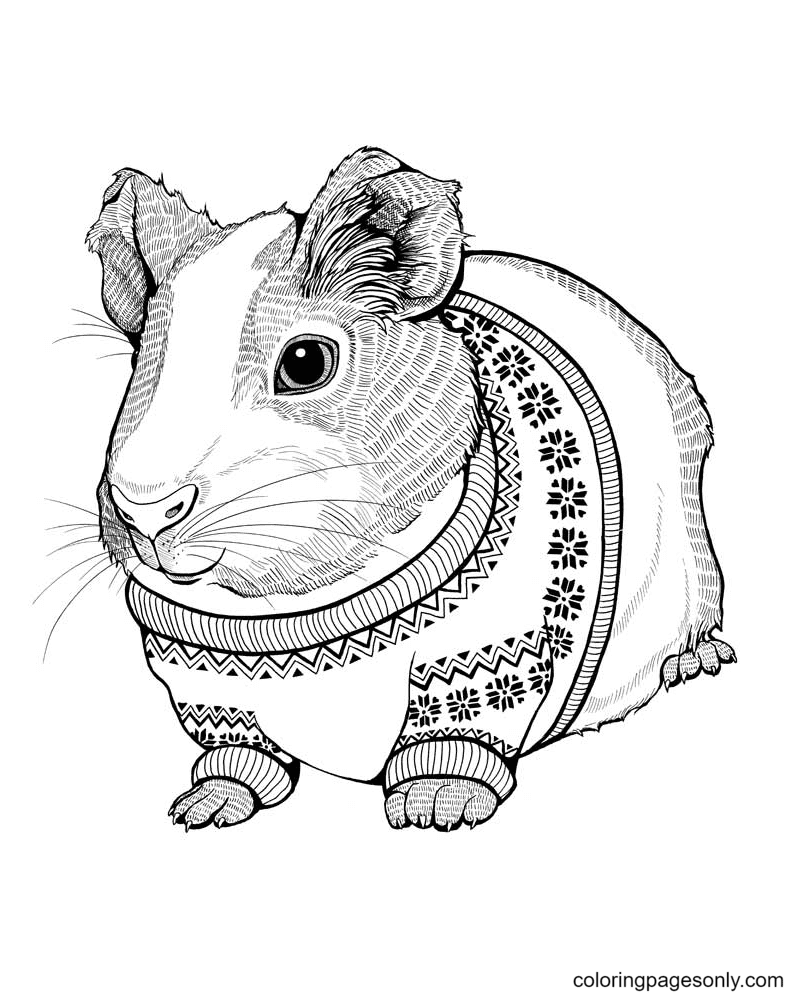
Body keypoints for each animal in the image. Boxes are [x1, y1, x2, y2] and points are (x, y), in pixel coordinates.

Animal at [85, 146, 734, 831]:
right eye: (141, 361)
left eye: (306, 363)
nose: (143, 511)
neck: (293, 606)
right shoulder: (203, 687)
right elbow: (236, 743)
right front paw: (206, 807)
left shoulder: (486, 658)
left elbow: (454, 726)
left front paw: (436, 808)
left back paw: (696, 663)